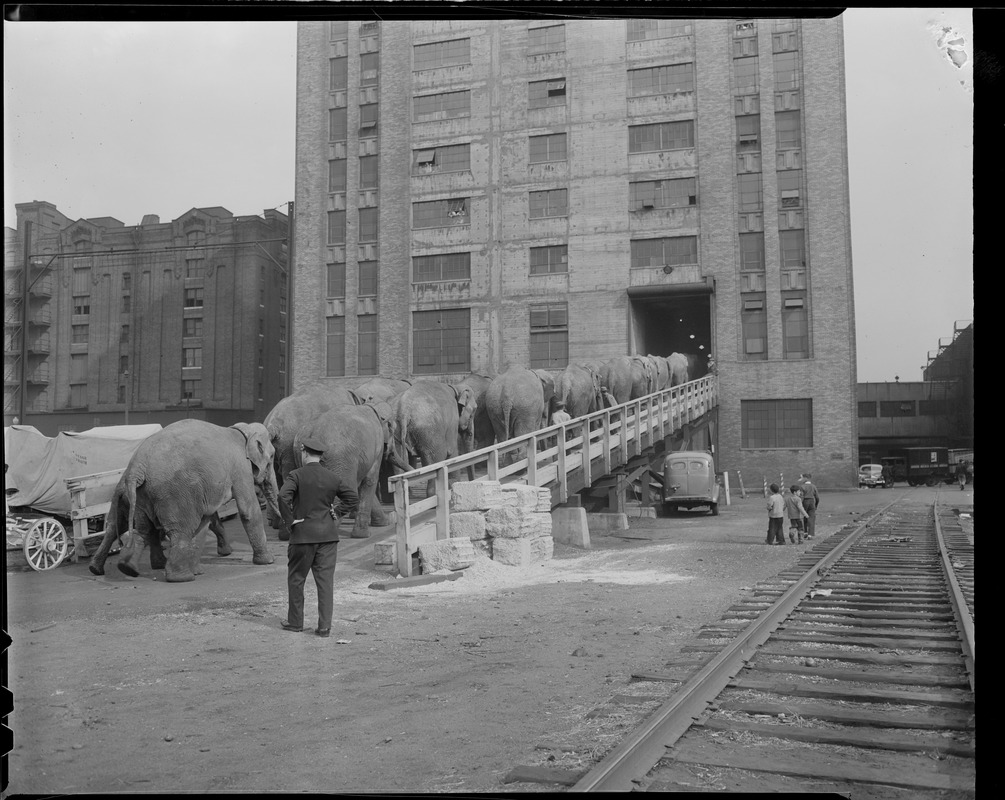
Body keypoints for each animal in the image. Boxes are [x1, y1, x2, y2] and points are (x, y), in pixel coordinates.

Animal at [88, 422, 279, 582]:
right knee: (180, 530)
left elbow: (209, 518)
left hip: (143, 494)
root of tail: (137, 467)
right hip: (175, 494)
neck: (242, 430)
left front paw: (225, 553)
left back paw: (122, 568)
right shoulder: (240, 468)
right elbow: (248, 510)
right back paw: (182, 577)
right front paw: (268, 561)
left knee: (139, 529)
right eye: (271, 458)